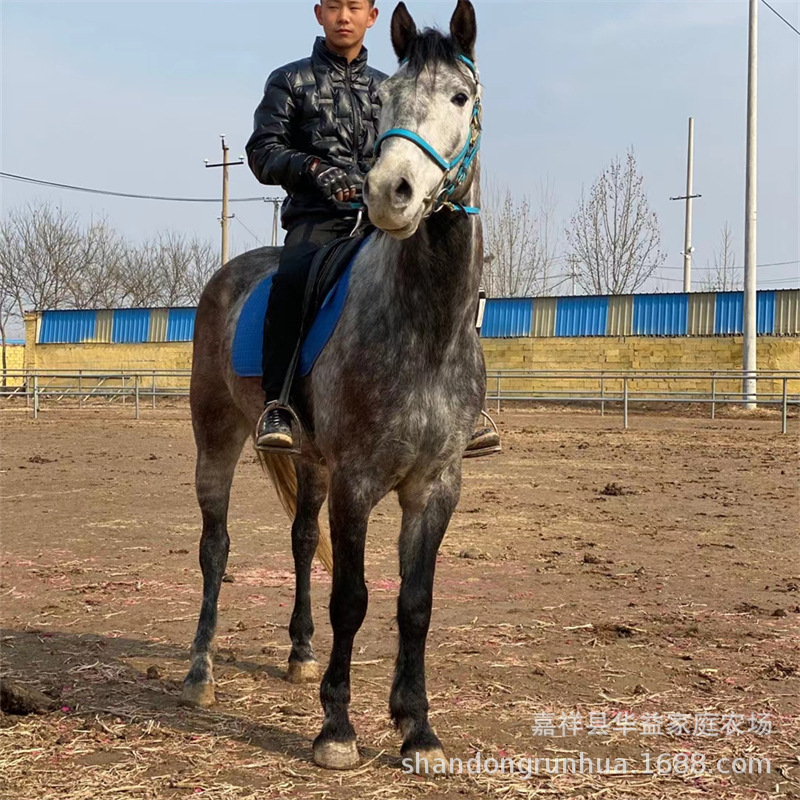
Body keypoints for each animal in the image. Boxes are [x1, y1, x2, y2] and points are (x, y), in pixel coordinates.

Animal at [182, 0, 484, 772]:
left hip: (310, 461)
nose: (389, 194)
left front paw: (417, 728)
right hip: (217, 439)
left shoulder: (434, 485)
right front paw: (337, 730)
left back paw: (299, 654)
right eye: (387, 100)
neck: (423, 330)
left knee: (298, 538)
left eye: (459, 98)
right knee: (215, 547)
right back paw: (198, 671)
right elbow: (352, 597)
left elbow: (415, 603)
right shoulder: (358, 480)